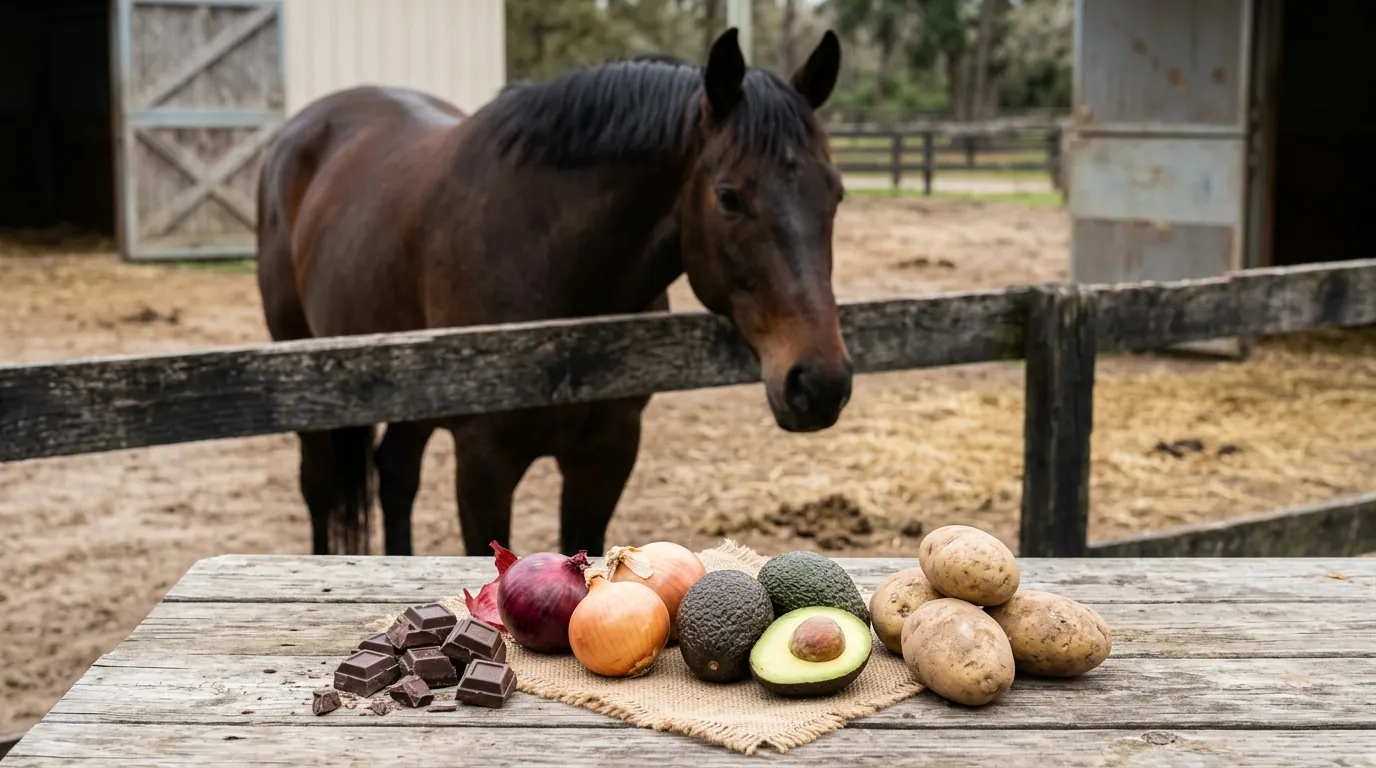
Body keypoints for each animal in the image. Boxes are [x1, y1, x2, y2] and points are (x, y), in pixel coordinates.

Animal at [254, 28, 852, 559]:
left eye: (837, 193)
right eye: (729, 197)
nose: (820, 384)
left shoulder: (607, 452)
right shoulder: (484, 462)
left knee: (397, 475)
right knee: (320, 485)